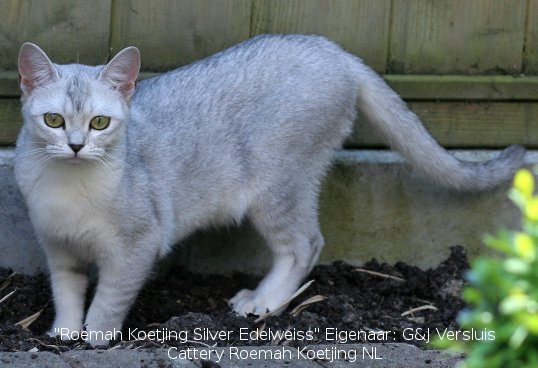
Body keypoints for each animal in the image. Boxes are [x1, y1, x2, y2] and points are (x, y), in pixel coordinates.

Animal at [15, 34, 524, 344]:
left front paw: (95, 337)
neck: (71, 187)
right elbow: (67, 293)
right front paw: (64, 332)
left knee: (305, 244)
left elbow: (109, 299)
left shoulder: (137, 244)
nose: (76, 146)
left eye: (100, 123)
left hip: (278, 183)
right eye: (54, 120)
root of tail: (335, 51)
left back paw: (262, 302)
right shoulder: (57, 246)